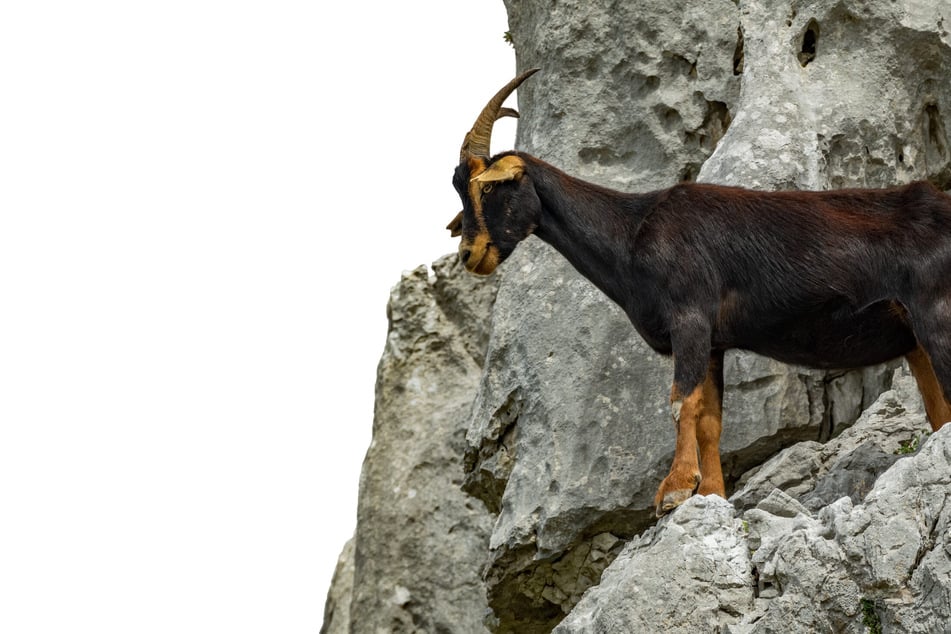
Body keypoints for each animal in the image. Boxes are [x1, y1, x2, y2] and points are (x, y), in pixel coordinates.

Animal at [447, 69, 951, 517]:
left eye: (490, 188)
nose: (470, 254)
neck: (634, 232)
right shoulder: (713, 341)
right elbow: (710, 417)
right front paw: (710, 493)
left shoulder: (689, 317)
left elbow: (680, 401)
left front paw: (673, 490)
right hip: (915, 340)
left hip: (937, 316)